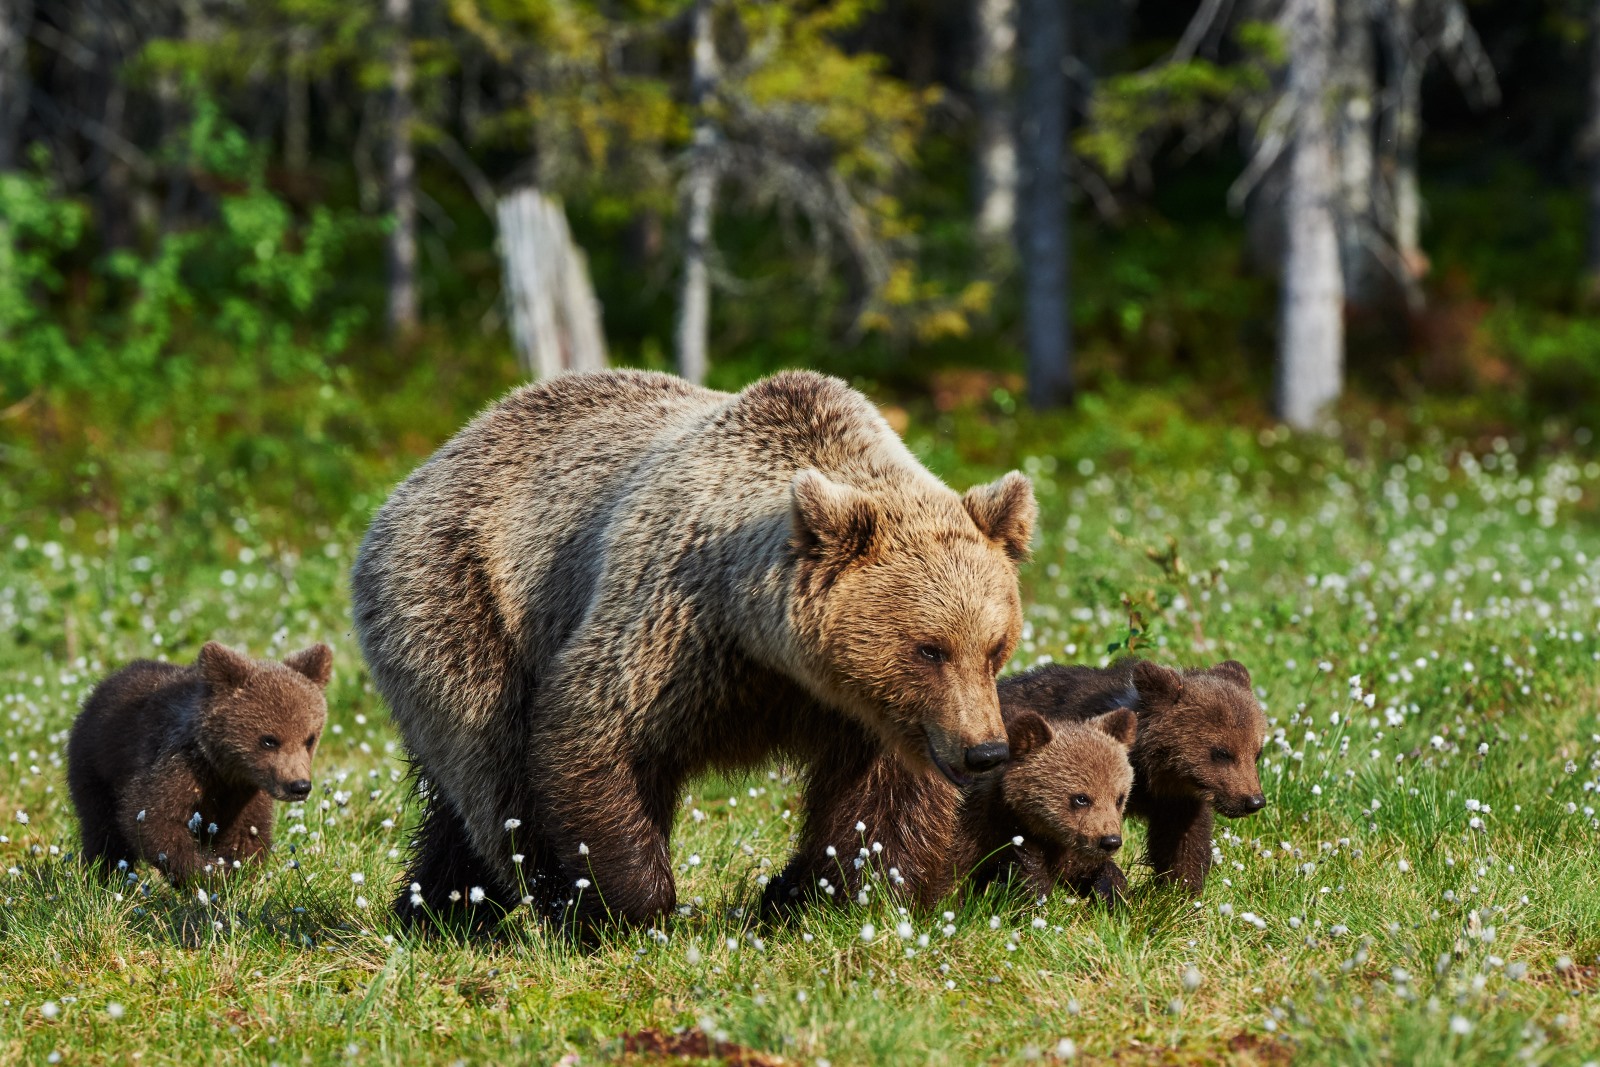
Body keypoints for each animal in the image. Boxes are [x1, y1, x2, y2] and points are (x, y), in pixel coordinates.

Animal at [65, 643, 331, 883]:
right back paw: (104, 877)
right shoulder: (177, 763)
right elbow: (151, 816)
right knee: (104, 832)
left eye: (309, 738)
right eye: (269, 740)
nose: (299, 786)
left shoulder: (245, 791)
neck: (224, 769)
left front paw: (234, 877)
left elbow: (247, 834)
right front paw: (204, 875)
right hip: (95, 768)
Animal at [347, 367, 1036, 927]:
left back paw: (436, 906)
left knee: (458, 808)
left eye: (994, 646)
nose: (985, 751)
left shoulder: (873, 714)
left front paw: (839, 894)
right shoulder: (675, 627)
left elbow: (882, 802)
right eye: (929, 649)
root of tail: (434, 461)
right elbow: (593, 729)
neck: (771, 651)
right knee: (495, 768)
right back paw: (527, 897)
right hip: (461, 599)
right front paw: (630, 906)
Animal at [1004, 659, 1267, 895]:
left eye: (1257, 752)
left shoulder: (1178, 800)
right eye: (1222, 753)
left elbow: (1184, 843)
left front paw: (1180, 894)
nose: (1253, 801)